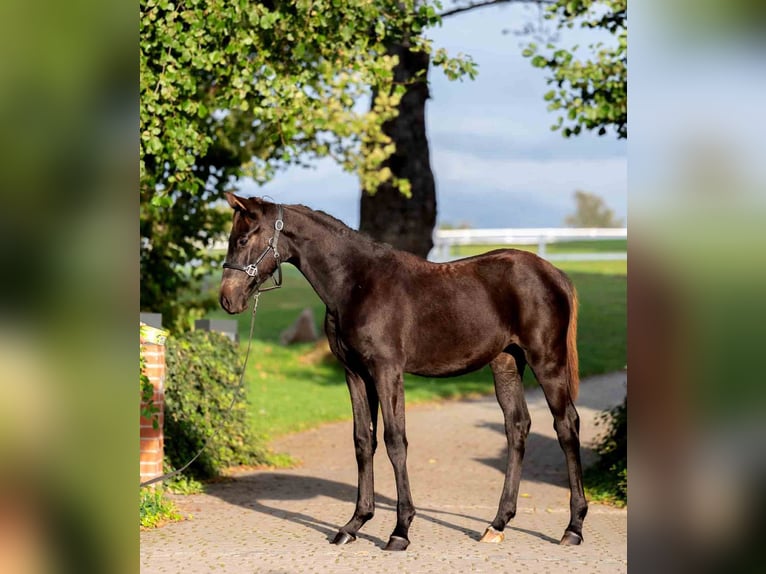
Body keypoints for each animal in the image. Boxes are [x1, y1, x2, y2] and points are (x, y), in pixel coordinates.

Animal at [219, 195, 592, 552]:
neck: (356, 283)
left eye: (243, 238)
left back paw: (573, 528)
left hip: (547, 361)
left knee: (566, 425)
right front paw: (353, 525)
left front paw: (400, 531)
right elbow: (363, 441)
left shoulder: (387, 372)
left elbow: (395, 441)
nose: (227, 299)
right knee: (517, 427)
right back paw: (497, 524)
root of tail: (555, 274)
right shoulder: (356, 374)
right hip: (506, 363)